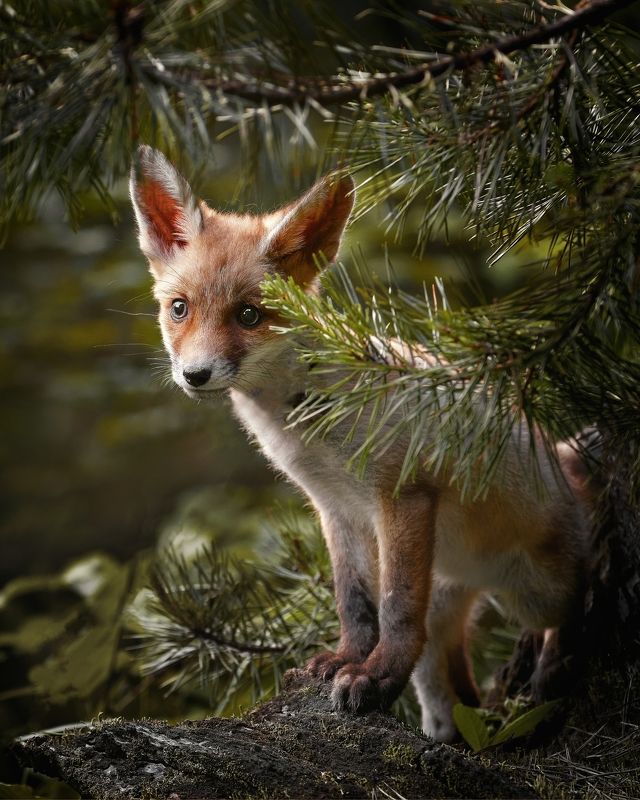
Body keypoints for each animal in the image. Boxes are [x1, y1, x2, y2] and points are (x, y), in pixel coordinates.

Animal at [130, 145, 592, 742]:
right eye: (180, 308)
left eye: (249, 315)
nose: (195, 375)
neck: (306, 424)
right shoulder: (335, 508)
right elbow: (354, 603)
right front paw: (348, 659)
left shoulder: (402, 495)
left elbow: (394, 609)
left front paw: (374, 678)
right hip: (448, 600)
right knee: (448, 689)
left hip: (536, 592)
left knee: (577, 604)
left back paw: (553, 671)